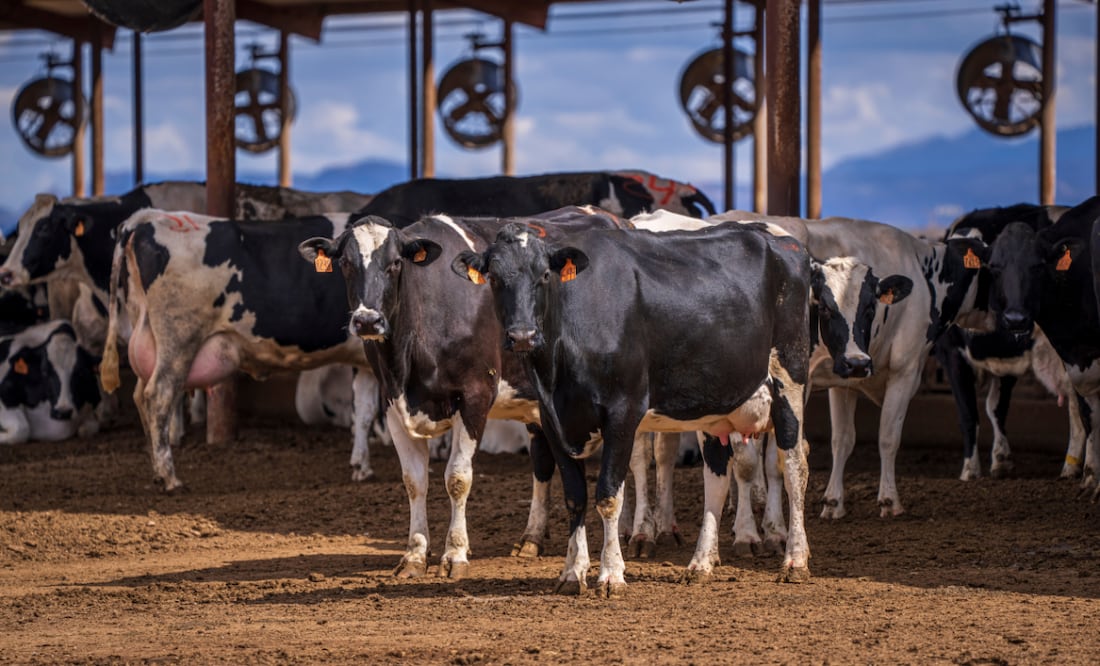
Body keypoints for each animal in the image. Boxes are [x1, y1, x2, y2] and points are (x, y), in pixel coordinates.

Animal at [99, 210, 376, 492]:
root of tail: (148, 217)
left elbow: (364, 411)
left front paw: (361, 467)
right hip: (178, 339)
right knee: (158, 395)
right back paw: (169, 477)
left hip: (149, 337)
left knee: (139, 395)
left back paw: (157, 471)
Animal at [297, 208, 631, 580]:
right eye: (345, 263)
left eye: (396, 262)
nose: (368, 321)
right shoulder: (393, 403)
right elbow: (414, 480)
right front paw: (415, 554)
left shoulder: (475, 397)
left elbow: (458, 478)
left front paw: (454, 553)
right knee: (543, 461)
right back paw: (531, 538)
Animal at [453, 220, 815, 594]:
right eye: (495, 277)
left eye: (544, 275)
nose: (523, 336)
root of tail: (781, 240)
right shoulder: (552, 420)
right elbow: (575, 497)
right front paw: (572, 573)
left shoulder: (622, 412)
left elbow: (609, 496)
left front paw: (611, 574)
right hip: (716, 404)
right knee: (716, 476)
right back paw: (700, 564)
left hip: (789, 378)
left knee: (794, 466)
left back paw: (795, 560)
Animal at [934, 203, 1085, 481]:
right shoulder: (1005, 360)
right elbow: (996, 408)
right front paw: (1001, 460)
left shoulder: (951, 354)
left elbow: (968, 413)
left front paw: (970, 470)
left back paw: (1073, 467)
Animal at [981, 195, 1100, 500]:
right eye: (995, 267)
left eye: (1037, 266)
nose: (1015, 319)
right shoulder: (1075, 355)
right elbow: (1088, 411)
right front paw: (1092, 478)